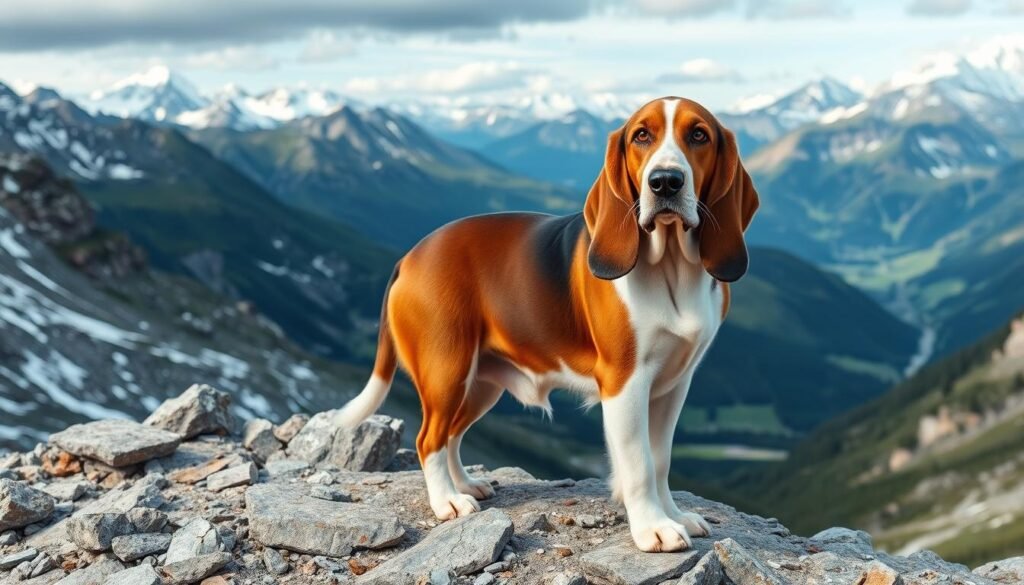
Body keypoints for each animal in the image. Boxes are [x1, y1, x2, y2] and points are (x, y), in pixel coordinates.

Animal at [335, 97, 761, 553]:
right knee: (428, 438)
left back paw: (465, 484)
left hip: (479, 384)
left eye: (699, 135)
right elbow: (640, 464)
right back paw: (447, 501)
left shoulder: (674, 385)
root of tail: (410, 257)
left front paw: (674, 515)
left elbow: (660, 459)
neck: (672, 267)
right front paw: (652, 527)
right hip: (445, 371)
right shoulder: (625, 383)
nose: (665, 182)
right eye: (641, 136)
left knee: (451, 435)